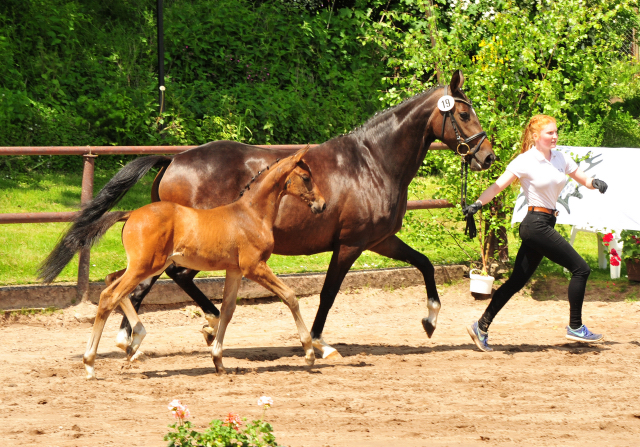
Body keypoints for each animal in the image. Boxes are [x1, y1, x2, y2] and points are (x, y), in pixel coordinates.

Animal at [82, 149, 324, 380]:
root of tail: (131, 214)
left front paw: (218, 361)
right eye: (306, 177)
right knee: (109, 296)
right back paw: (91, 363)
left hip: (146, 265)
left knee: (111, 280)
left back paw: (134, 343)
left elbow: (227, 310)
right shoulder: (254, 267)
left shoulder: (235, 270)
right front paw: (309, 353)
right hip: (144, 266)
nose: (322, 205)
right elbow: (290, 296)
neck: (251, 214)